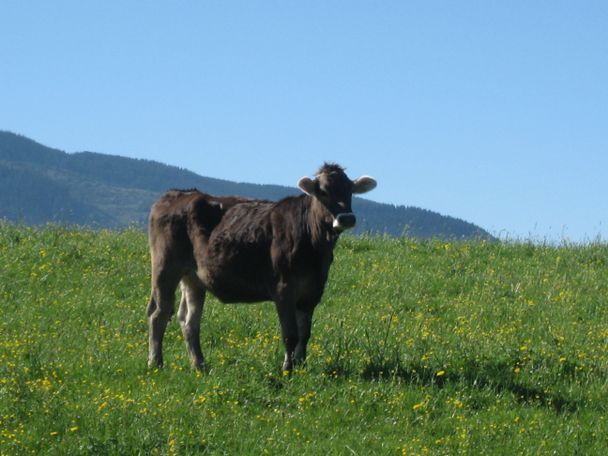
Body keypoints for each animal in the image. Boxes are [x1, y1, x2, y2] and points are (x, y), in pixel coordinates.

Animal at [146, 163, 376, 370]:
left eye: (350, 191)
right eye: (324, 191)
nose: (346, 218)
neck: (314, 248)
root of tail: (176, 194)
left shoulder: (313, 291)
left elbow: (305, 334)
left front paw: (302, 367)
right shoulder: (283, 289)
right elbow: (290, 334)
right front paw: (287, 369)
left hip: (193, 278)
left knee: (188, 321)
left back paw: (200, 366)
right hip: (165, 268)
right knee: (159, 314)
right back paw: (155, 363)